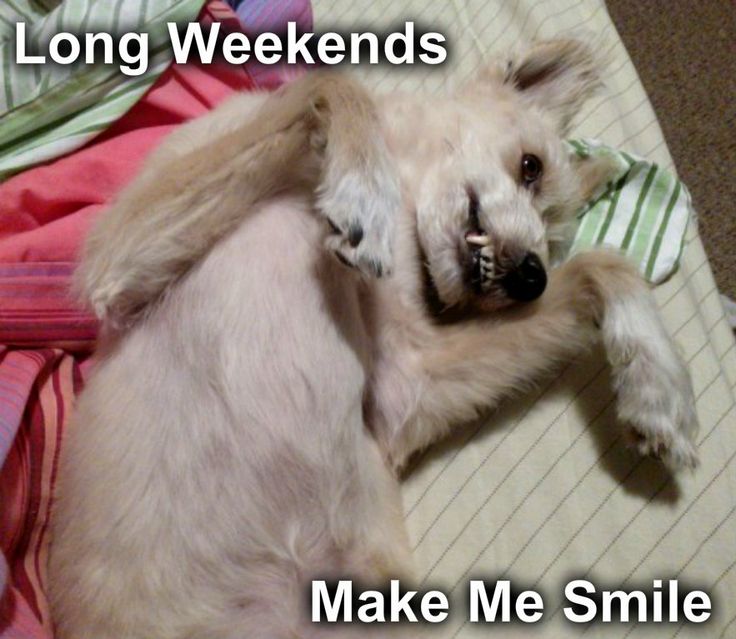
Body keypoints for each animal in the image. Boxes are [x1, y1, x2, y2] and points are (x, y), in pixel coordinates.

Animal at [49, 40, 700, 639]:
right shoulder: (120, 257)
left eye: (555, 234)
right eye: (531, 167)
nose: (531, 280)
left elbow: (604, 266)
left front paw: (658, 392)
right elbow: (333, 83)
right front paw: (364, 187)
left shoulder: (404, 388)